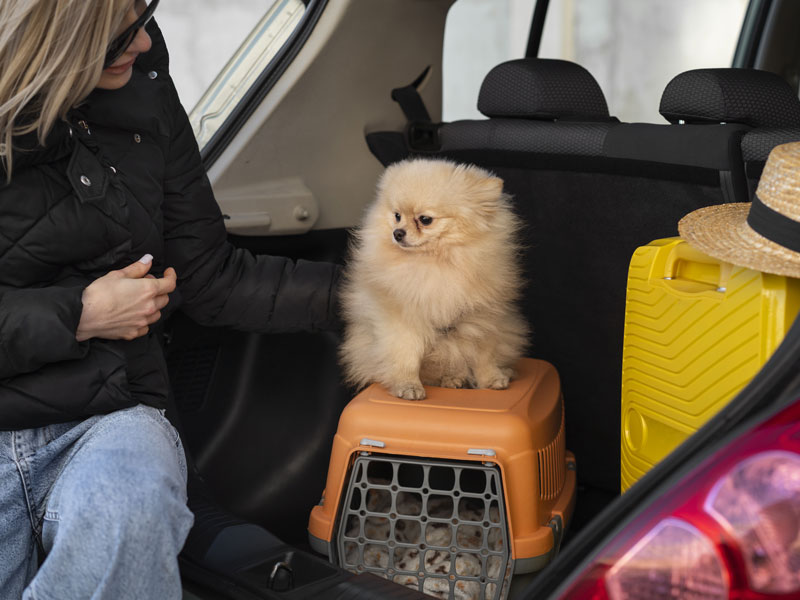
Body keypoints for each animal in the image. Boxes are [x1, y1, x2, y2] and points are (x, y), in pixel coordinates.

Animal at [340, 158, 532, 398]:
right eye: (397, 216)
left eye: (425, 220)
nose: (397, 233)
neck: (437, 263)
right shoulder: (403, 320)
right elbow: (406, 357)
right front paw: (408, 386)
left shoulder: (482, 317)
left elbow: (484, 355)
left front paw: (491, 379)